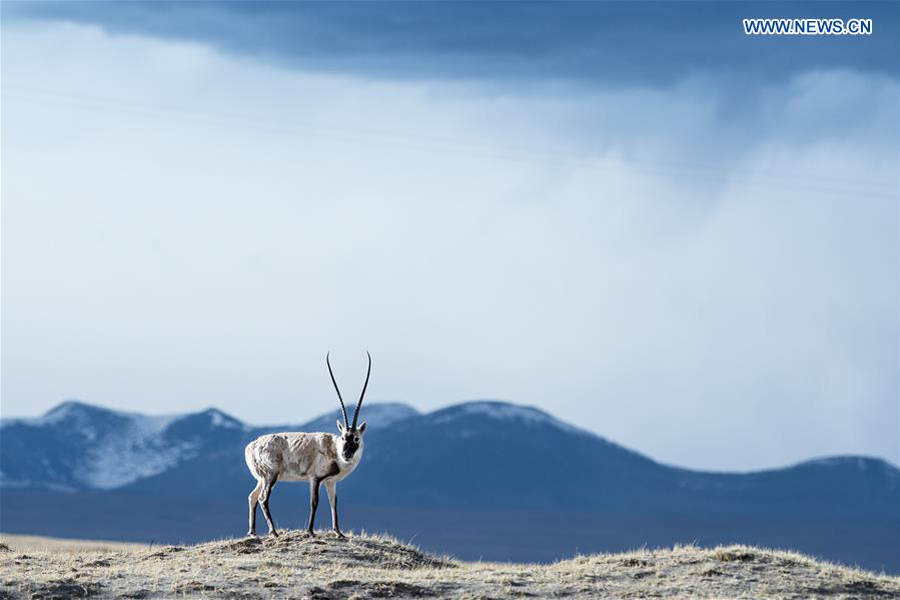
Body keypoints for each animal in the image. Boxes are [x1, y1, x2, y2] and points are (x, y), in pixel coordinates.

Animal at [243, 350, 370, 536]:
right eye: (343, 437)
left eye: (356, 438)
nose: (346, 454)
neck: (334, 449)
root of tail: (251, 446)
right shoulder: (315, 478)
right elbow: (314, 502)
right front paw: (310, 531)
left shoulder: (331, 482)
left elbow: (333, 502)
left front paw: (338, 532)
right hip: (271, 476)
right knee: (262, 498)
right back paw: (273, 532)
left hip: (262, 478)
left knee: (252, 496)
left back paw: (252, 532)